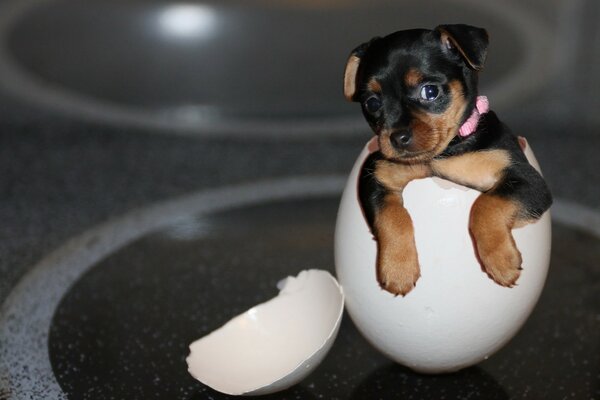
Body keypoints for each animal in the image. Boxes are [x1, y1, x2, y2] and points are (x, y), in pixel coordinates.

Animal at [344, 23, 552, 296]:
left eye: (430, 91)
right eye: (372, 103)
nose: (397, 138)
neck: (443, 154)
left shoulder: (528, 181)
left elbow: (486, 204)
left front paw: (501, 260)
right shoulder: (375, 174)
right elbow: (391, 216)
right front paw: (398, 268)